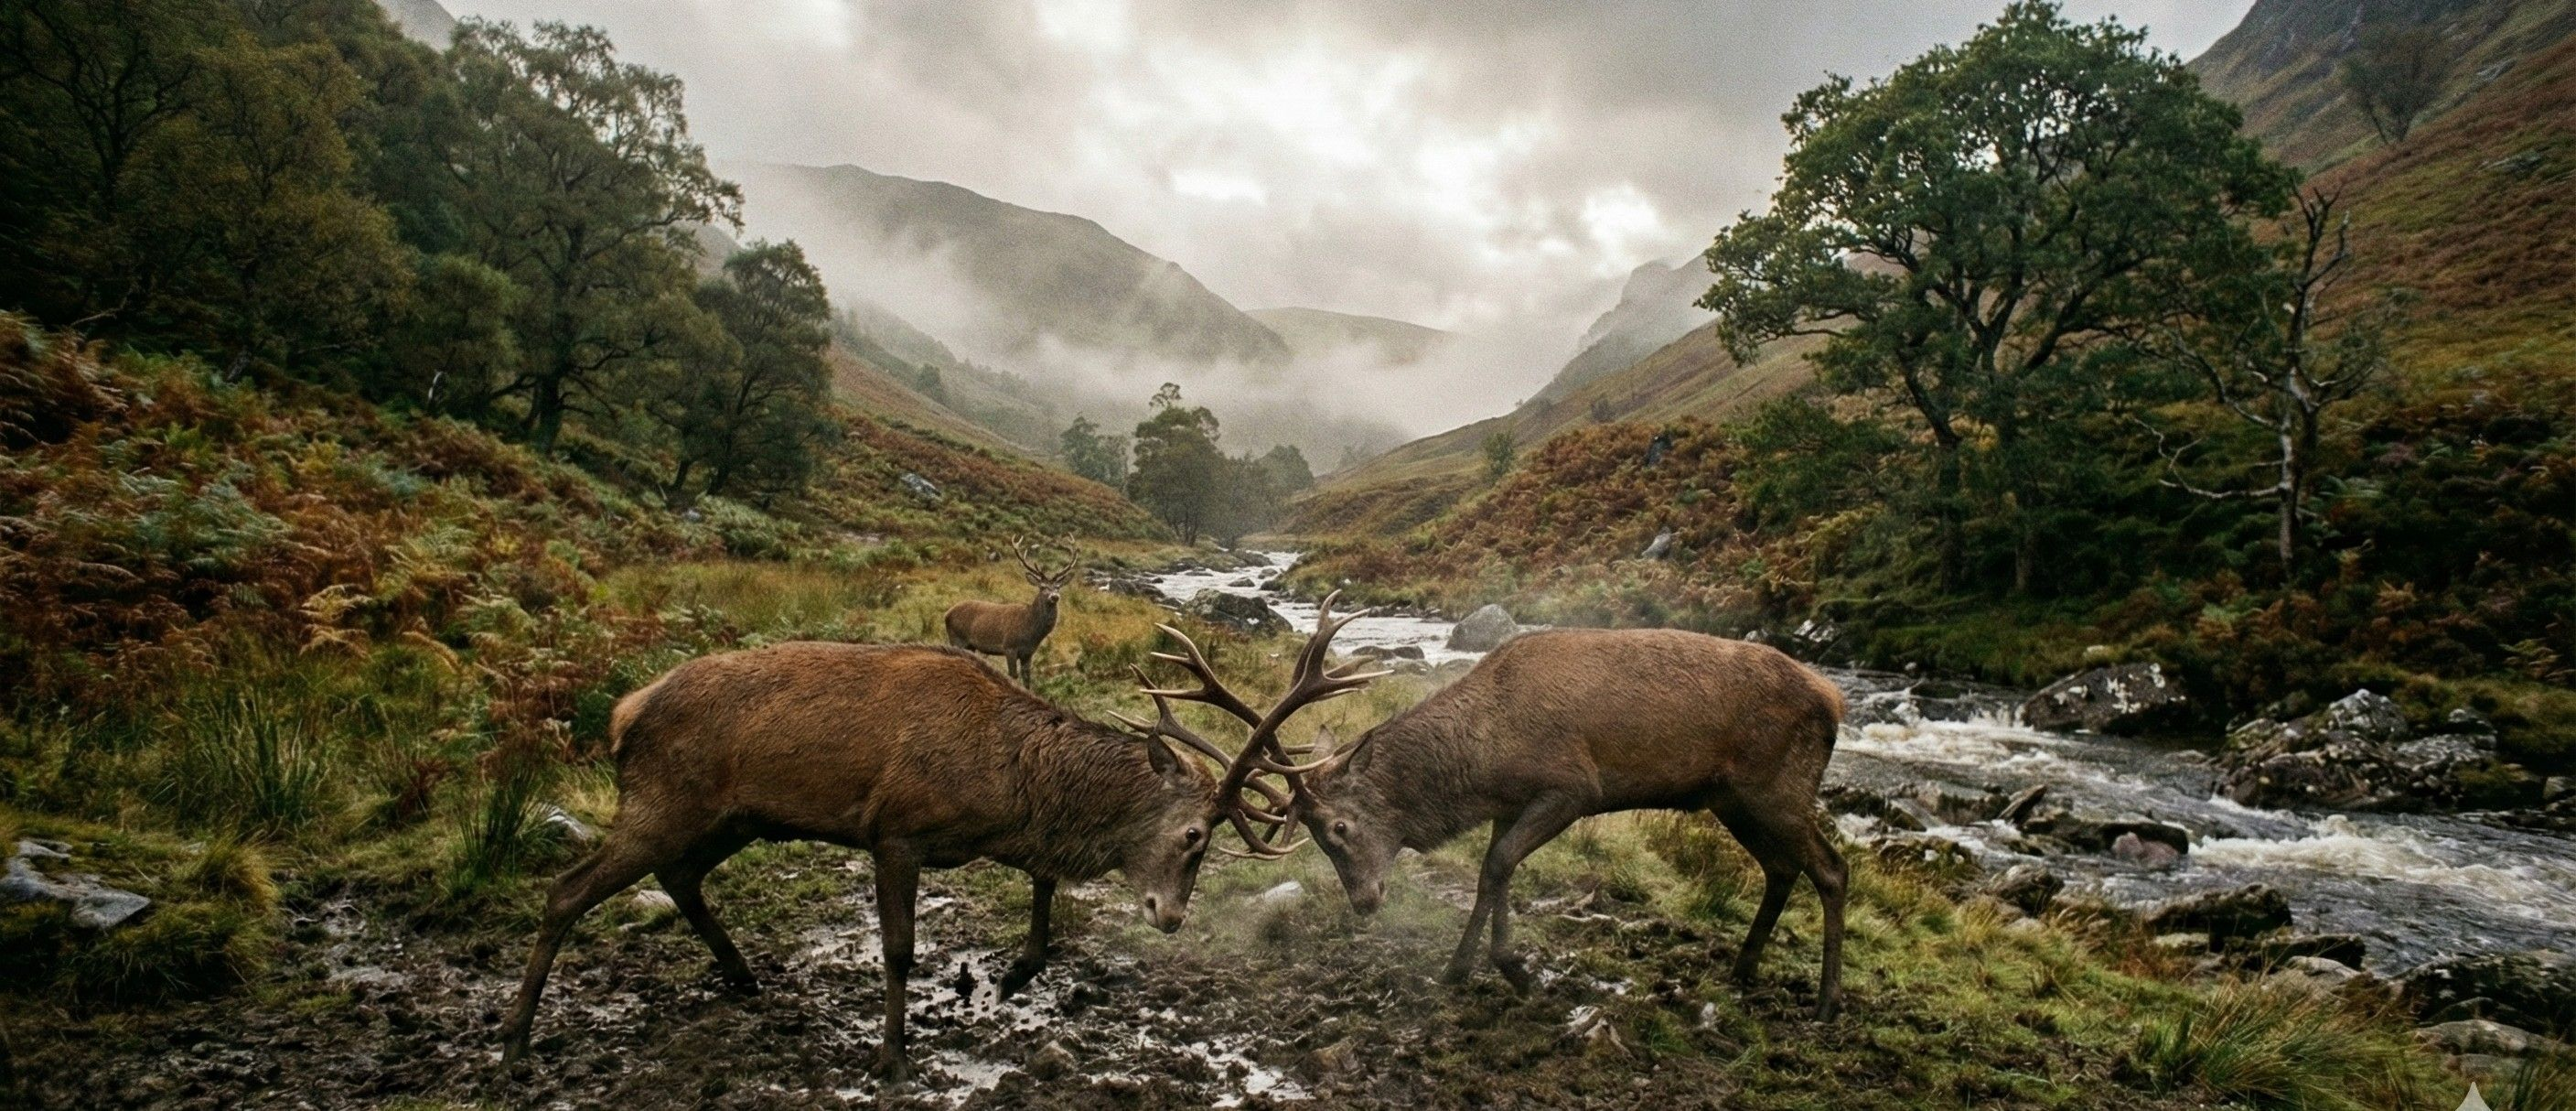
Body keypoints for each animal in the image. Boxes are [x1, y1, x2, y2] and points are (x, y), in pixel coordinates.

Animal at [496, 596, 1383, 1082]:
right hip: (661, 803)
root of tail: (624, 712)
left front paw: (1022, 968)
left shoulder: (1000, 836)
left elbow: (1043, 880)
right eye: (1195, 833)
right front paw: (890, 1058)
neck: (1005, 776)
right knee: (565, 891)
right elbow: (897, 950)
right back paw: (514, 1044)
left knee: (679, 879)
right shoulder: (895, 830)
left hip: (729, 818)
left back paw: (744, 977)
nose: (1169, 916)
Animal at [944, 536, 1081, 684]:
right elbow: (1013, 675)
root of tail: (947, 614)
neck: (1031, 631)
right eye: (1042, 587)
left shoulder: (1028, 653)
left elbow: (1027, 679)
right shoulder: (1009, 647)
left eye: (1058, 587)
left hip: (970, 645)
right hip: (957, 638)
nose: (1054, 596)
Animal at [1134, 626, 1850, 1020]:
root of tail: (1835, 699)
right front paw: (1462, 968)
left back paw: (1824, 1003)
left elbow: (1501, 863)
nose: (1365, 902)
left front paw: (1512, 968)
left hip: (1777, 788)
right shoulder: (1514, 802)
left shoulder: (1572, 786)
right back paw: (1743, 970)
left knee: (1832, 867)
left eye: (1338, 828)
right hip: (1734, 799)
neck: (1485, 758)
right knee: (1783, 867)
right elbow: (1491, 871)